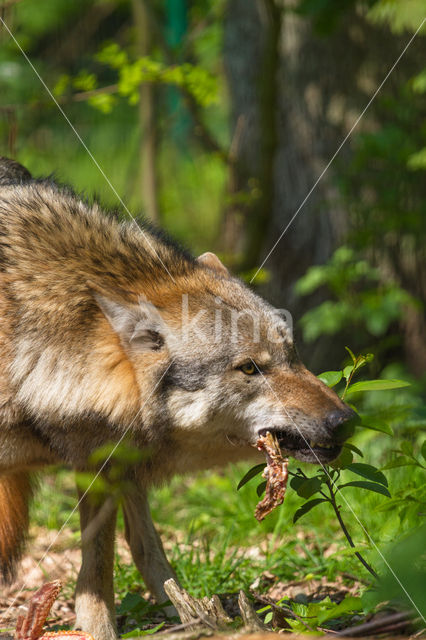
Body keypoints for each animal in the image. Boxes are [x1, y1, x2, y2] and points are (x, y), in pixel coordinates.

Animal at [0, 156, 352, 640]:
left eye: (292, 354)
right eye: (250, 368)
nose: (345, 421)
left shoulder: (103, 461)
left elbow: (120, 555)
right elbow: (100, 565)